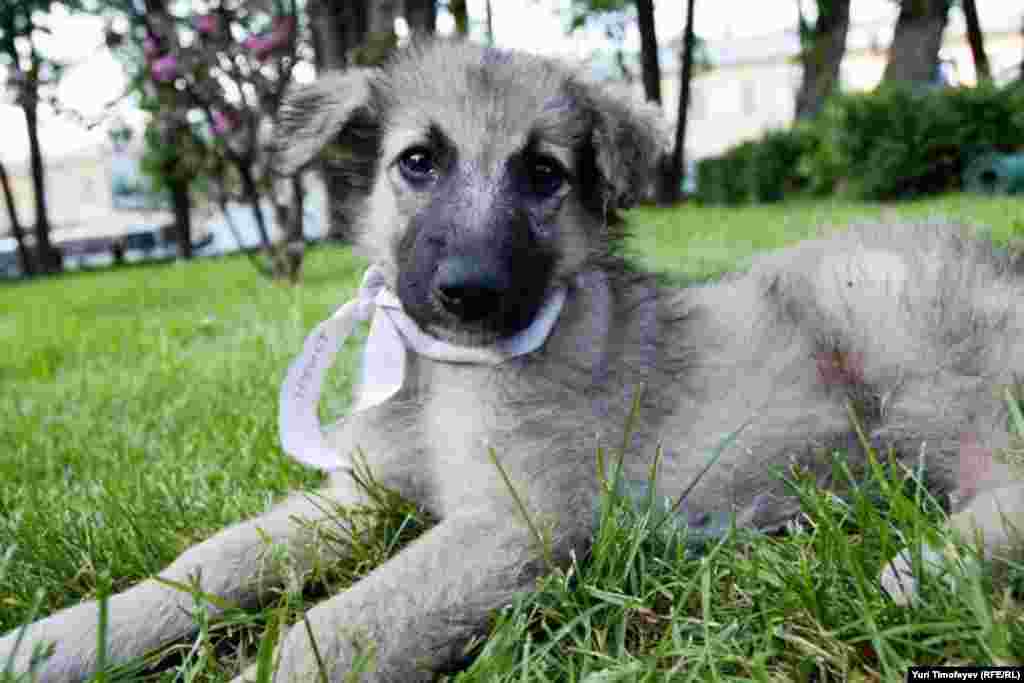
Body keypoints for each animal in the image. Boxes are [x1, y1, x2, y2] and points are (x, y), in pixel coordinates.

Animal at [2, 40, 1022, 682]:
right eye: (418, 161)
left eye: (543, 174)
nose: (470, 292)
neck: (446, 375)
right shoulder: (363, 495)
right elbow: (209, 559)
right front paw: (64, 639)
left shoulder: (522, 518)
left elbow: (339, 626)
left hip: (895, 326)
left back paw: (930, 564)